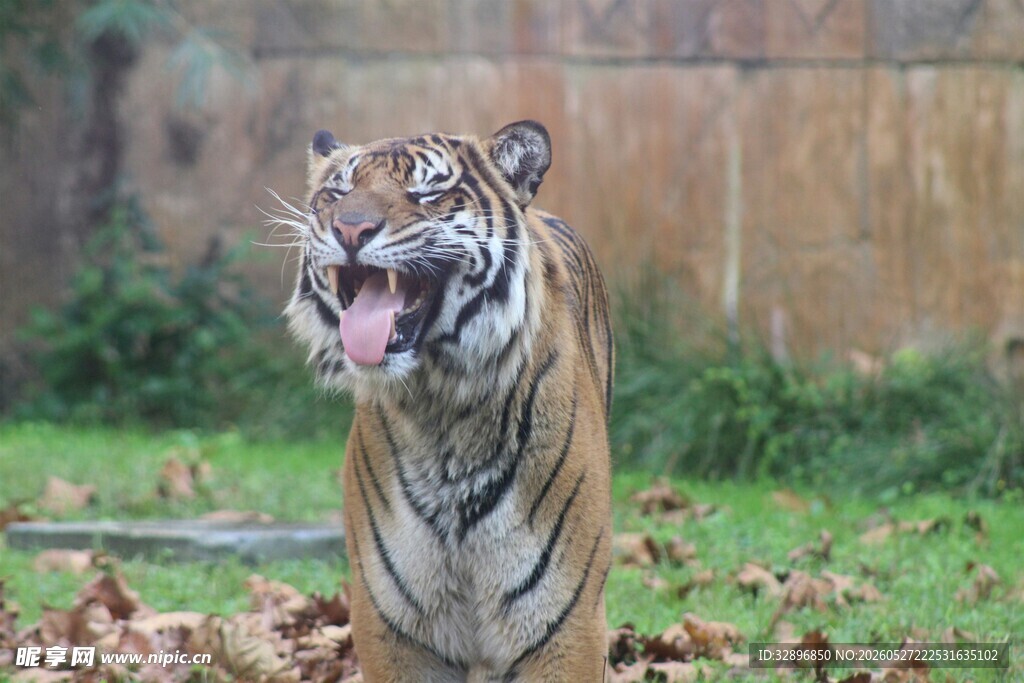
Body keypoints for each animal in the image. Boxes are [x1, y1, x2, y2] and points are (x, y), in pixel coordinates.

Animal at [282, 120, 614, 682]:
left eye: (426, 192)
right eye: (339, 191)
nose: (350, 230)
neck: (441, 411)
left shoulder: (565, 628)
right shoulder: (393, 628)